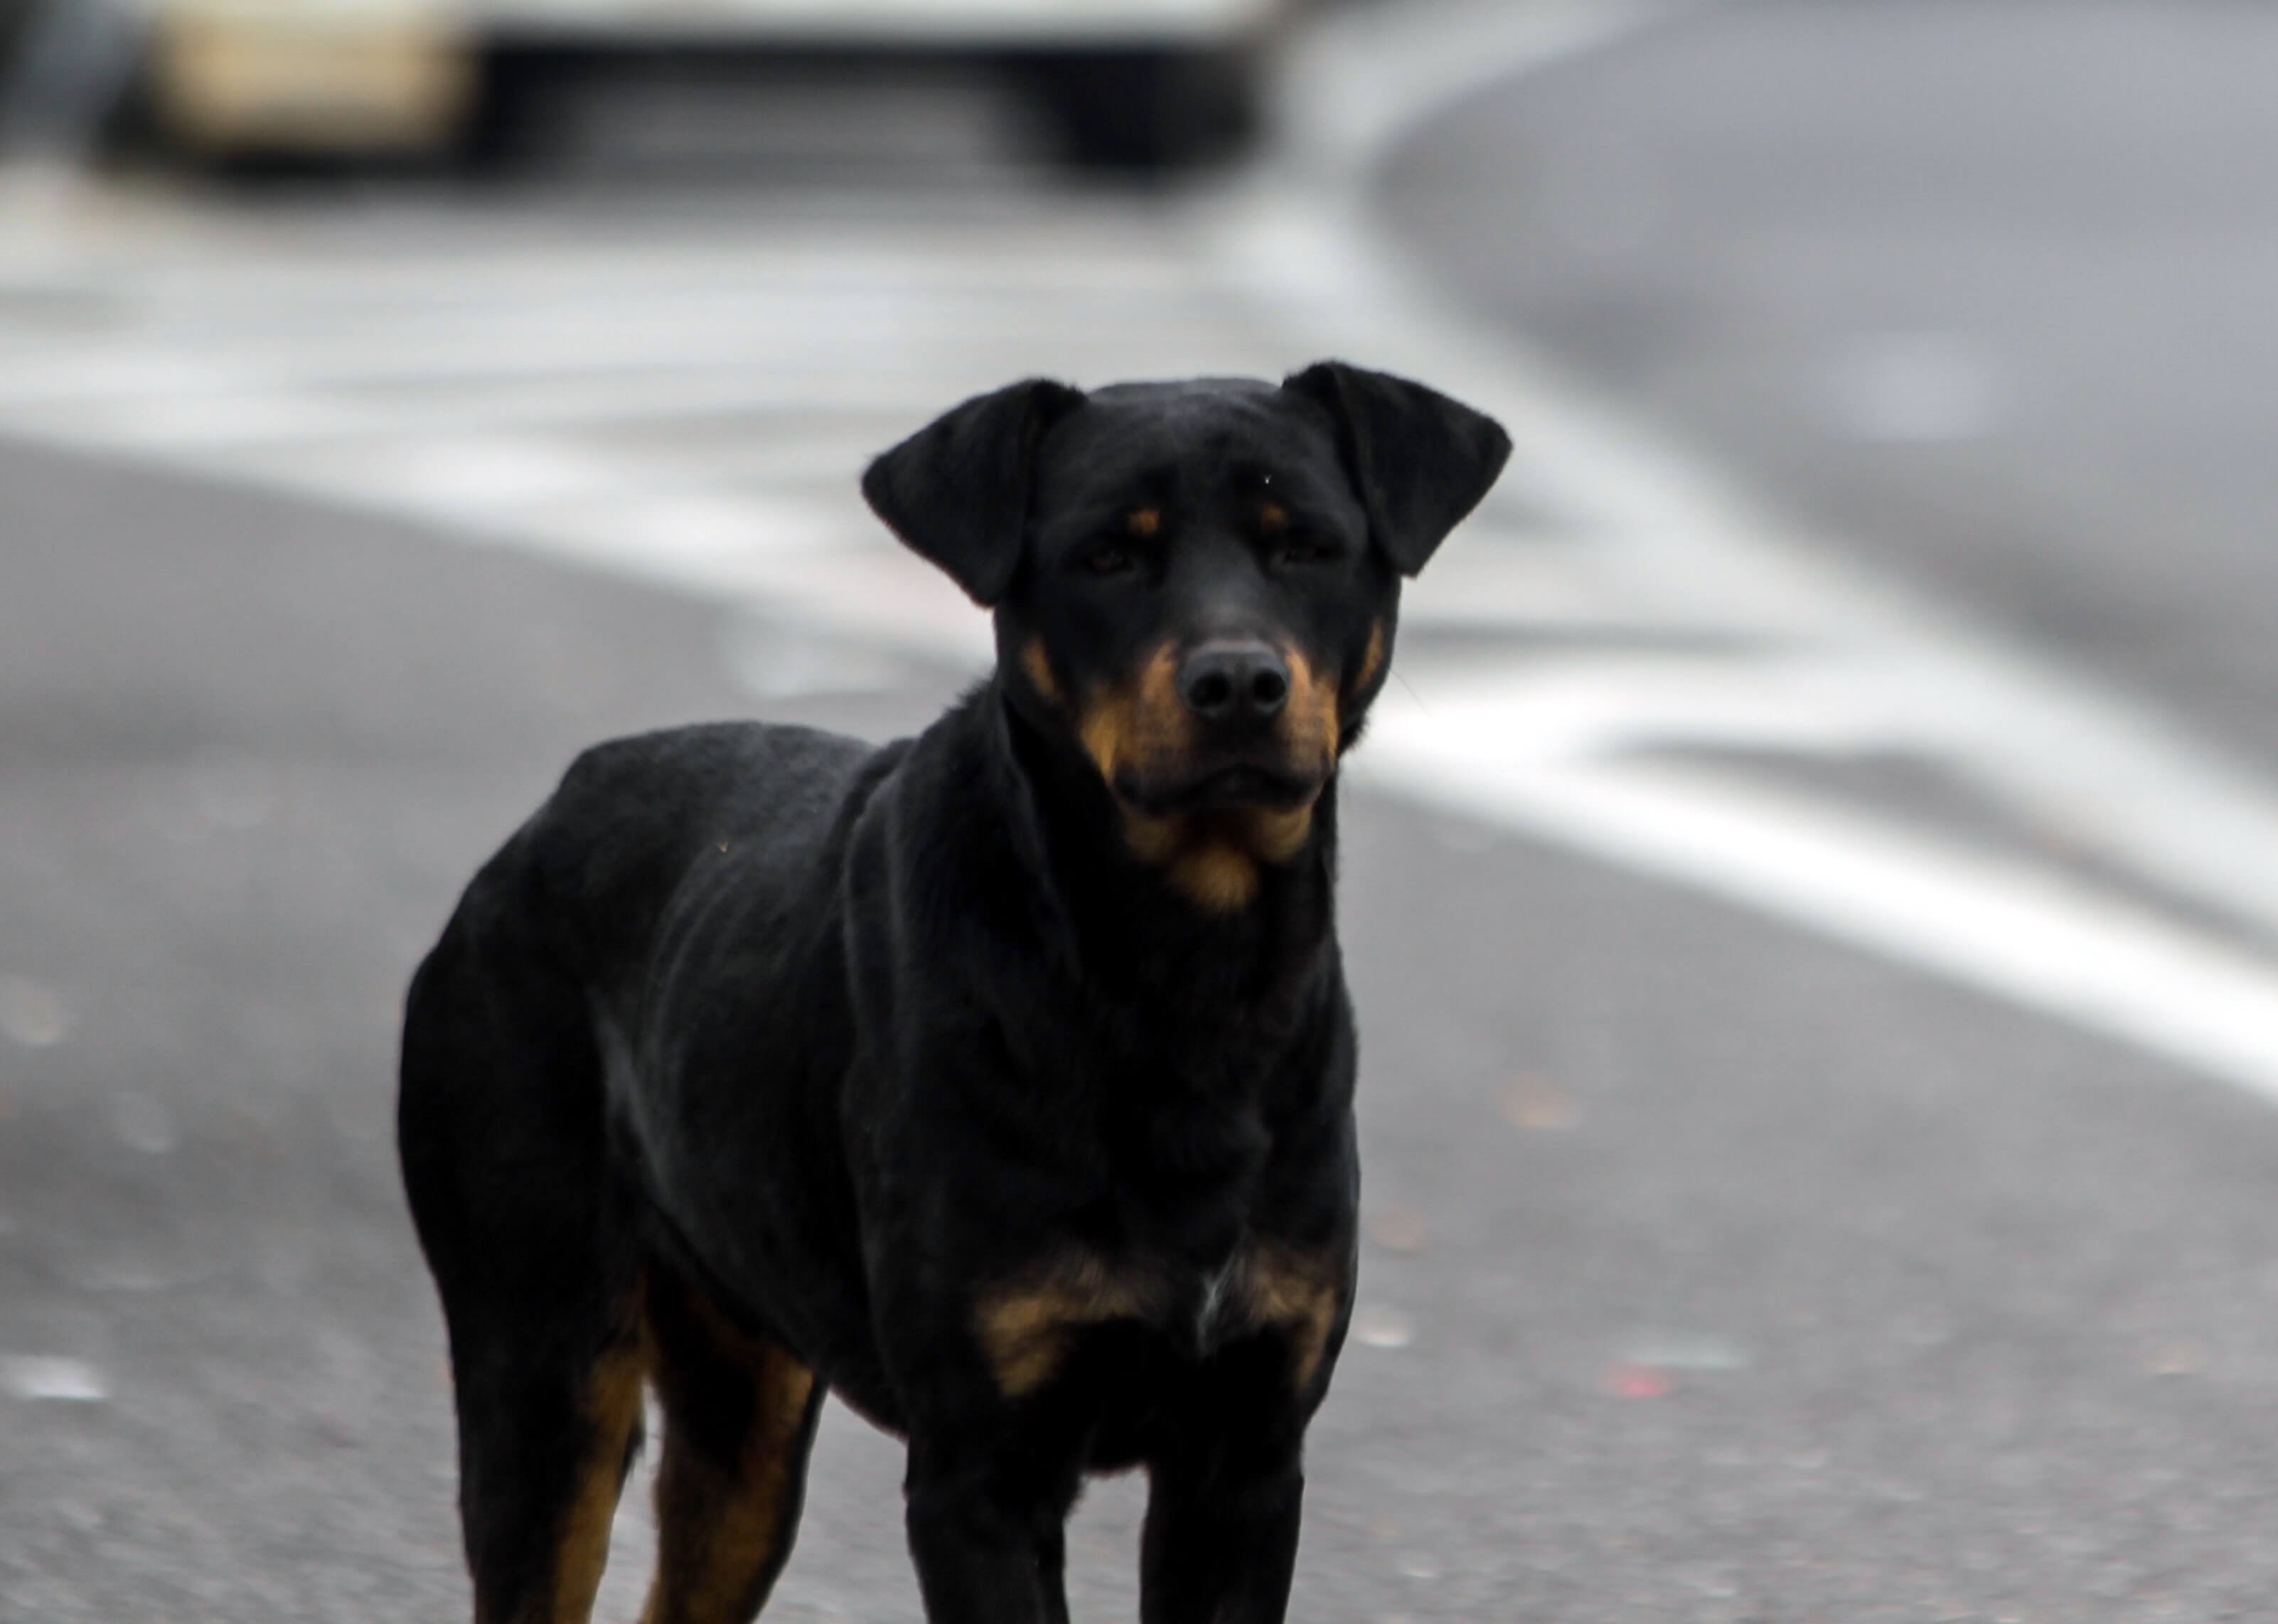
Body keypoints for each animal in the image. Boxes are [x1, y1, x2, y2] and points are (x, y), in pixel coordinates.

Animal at [405, 362, 1512, 1612]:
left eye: (1308, 546)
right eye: (1105, 557)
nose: (1237, 680)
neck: (1178, 975)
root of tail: (537, 824)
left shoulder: (1246, 1453)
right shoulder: (981, 1473)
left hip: (743, 1421)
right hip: (544, 1352)